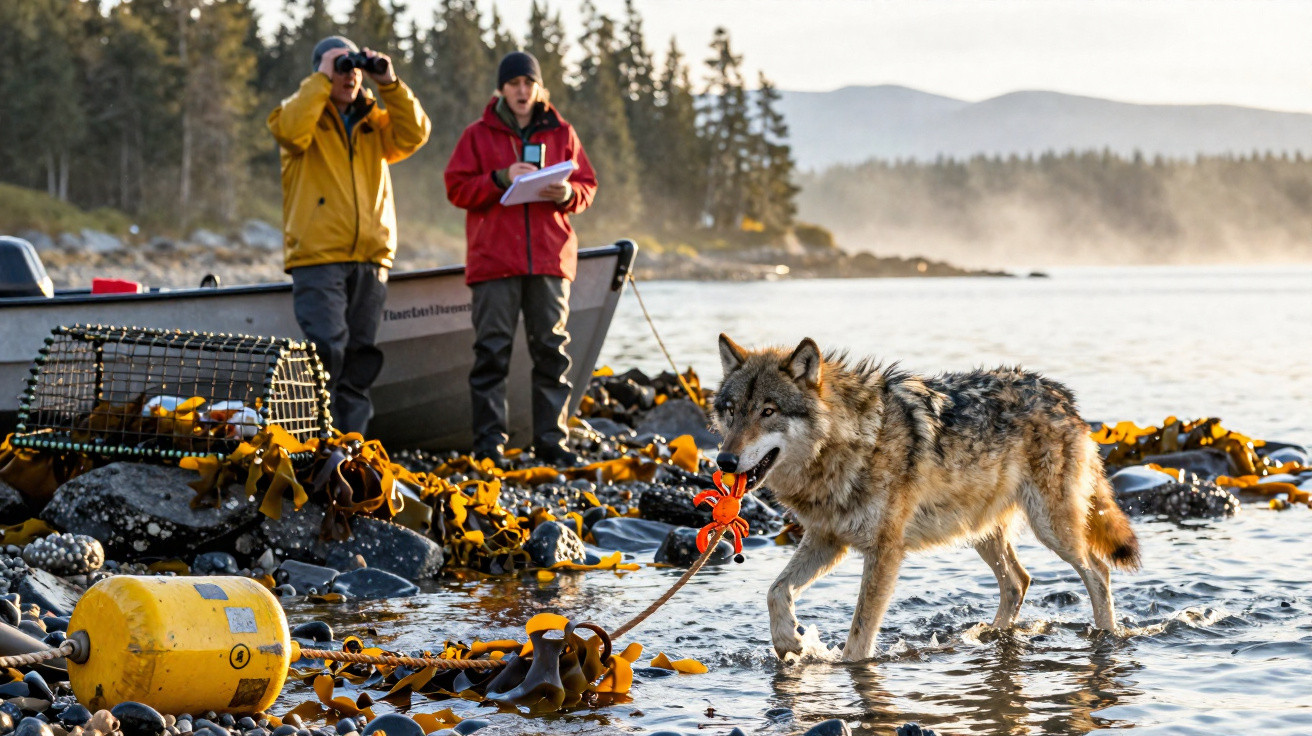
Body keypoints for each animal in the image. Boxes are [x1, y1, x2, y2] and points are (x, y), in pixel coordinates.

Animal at [710, 334, 1141, 662]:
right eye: (731, 411)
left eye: (768, 411)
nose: (724, 460)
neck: (851, 442)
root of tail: (1063, 398)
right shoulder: (827, 539)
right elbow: (775, 591)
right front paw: (789, 642)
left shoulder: (885, 550)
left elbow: (859, 636)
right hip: (982, 533)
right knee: (1019, 581)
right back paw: (989, 635)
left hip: (1051, 530)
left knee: (1098, 572)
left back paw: (1107, 637)